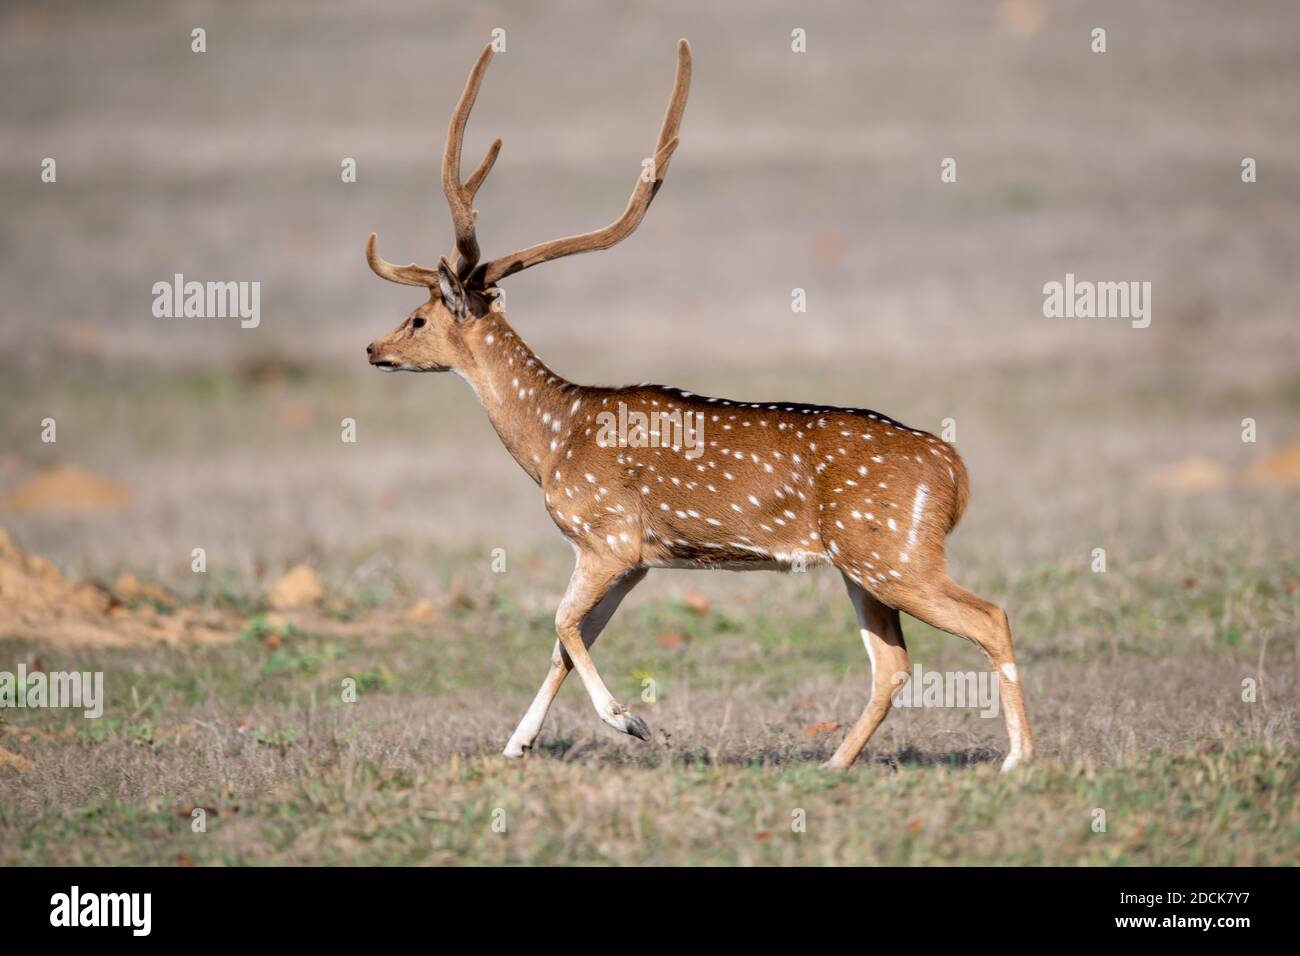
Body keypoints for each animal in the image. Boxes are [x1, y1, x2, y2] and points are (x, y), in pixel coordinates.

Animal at [363, 40, 1034, 772]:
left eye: (418, 319)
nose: (373, 348)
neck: (552, 443)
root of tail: (954, 471)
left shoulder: (607, 536)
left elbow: (561, 623)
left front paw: (631, 722)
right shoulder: (639, 559)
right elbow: (567, 642)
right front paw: (518, 744)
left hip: (896, 554)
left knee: (989, 618)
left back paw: (1016, 759)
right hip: (866, 564)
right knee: (893, 664)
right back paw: (832, 764)